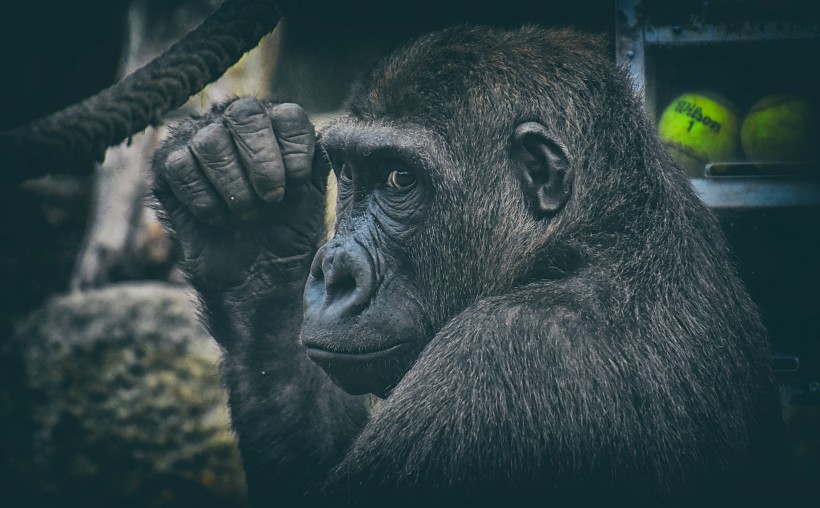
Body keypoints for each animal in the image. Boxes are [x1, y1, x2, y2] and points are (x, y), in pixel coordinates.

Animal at [151, 25, 784, 506]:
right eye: (349, 173)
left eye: (400, 179)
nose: (333, 275)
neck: (588, 239)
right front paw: (252, 244)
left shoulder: (502, 353)